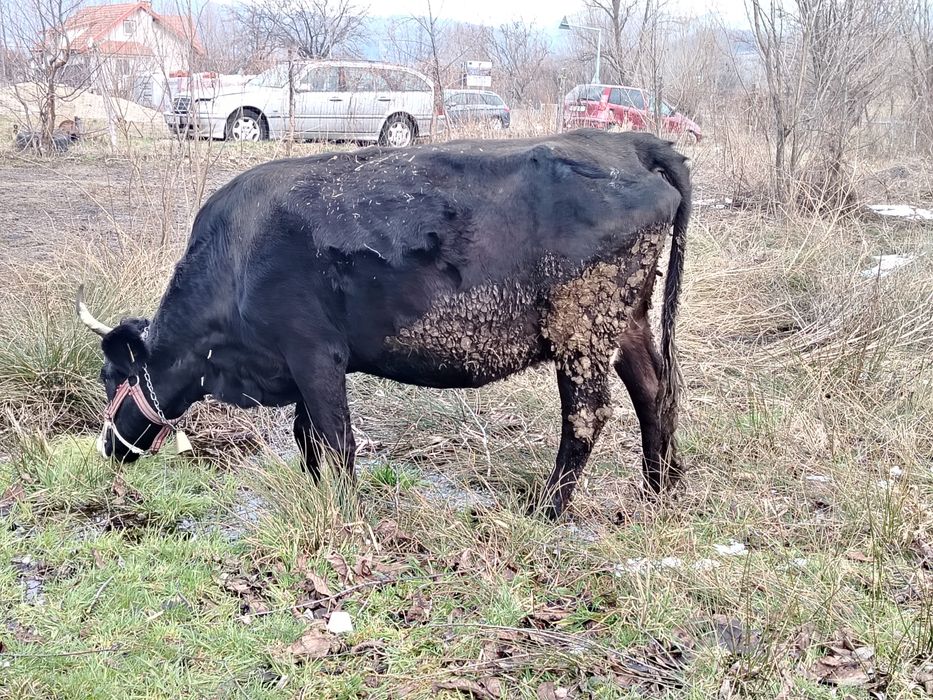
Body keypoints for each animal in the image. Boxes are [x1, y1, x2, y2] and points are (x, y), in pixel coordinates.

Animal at [76, 129, 691, 518]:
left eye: (110, 377)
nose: (106, 450)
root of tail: (627, 142)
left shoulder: (313, 353)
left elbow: (336, 439)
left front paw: (346, 510)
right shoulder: (302, 365)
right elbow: (308, 438)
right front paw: (319, 495)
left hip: (581, 325)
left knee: (587, 415)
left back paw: (548, 509)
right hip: (627, 319)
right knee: (654, 389)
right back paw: (659, 490)